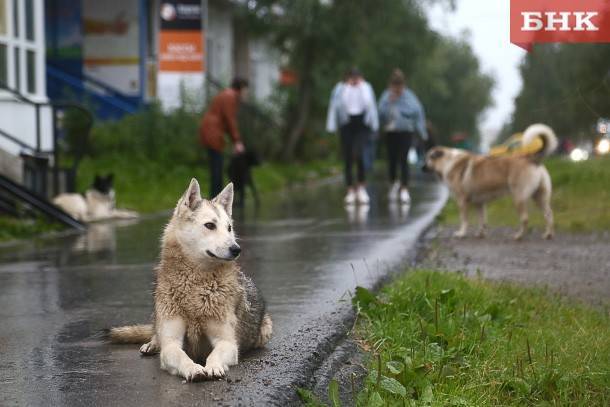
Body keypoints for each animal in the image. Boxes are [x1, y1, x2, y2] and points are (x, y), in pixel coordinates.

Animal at [108, 180, 272, 380]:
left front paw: (213, 367)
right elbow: (180, 356)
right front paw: (193, 369)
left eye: (229, 228)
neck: (195, 283)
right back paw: (152, 344)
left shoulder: (226, 342)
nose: (236, 249)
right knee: (155, 333)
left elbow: (214, 355)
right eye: (210, 225)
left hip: (266, 330)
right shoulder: (171, 343)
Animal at [422, 122, 556, 241]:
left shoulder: (462, 201)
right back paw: (548, 235)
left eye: (429, 158)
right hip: (539, 197)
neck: (447, 162)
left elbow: (464, 220)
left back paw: (518, 236)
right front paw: (480, 234)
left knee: (525, 218)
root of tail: (531, 158)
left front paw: (461, 233)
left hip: (519, 197)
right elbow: (482, 220)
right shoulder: (479, 203)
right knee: (549, 215)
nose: (422, 168)